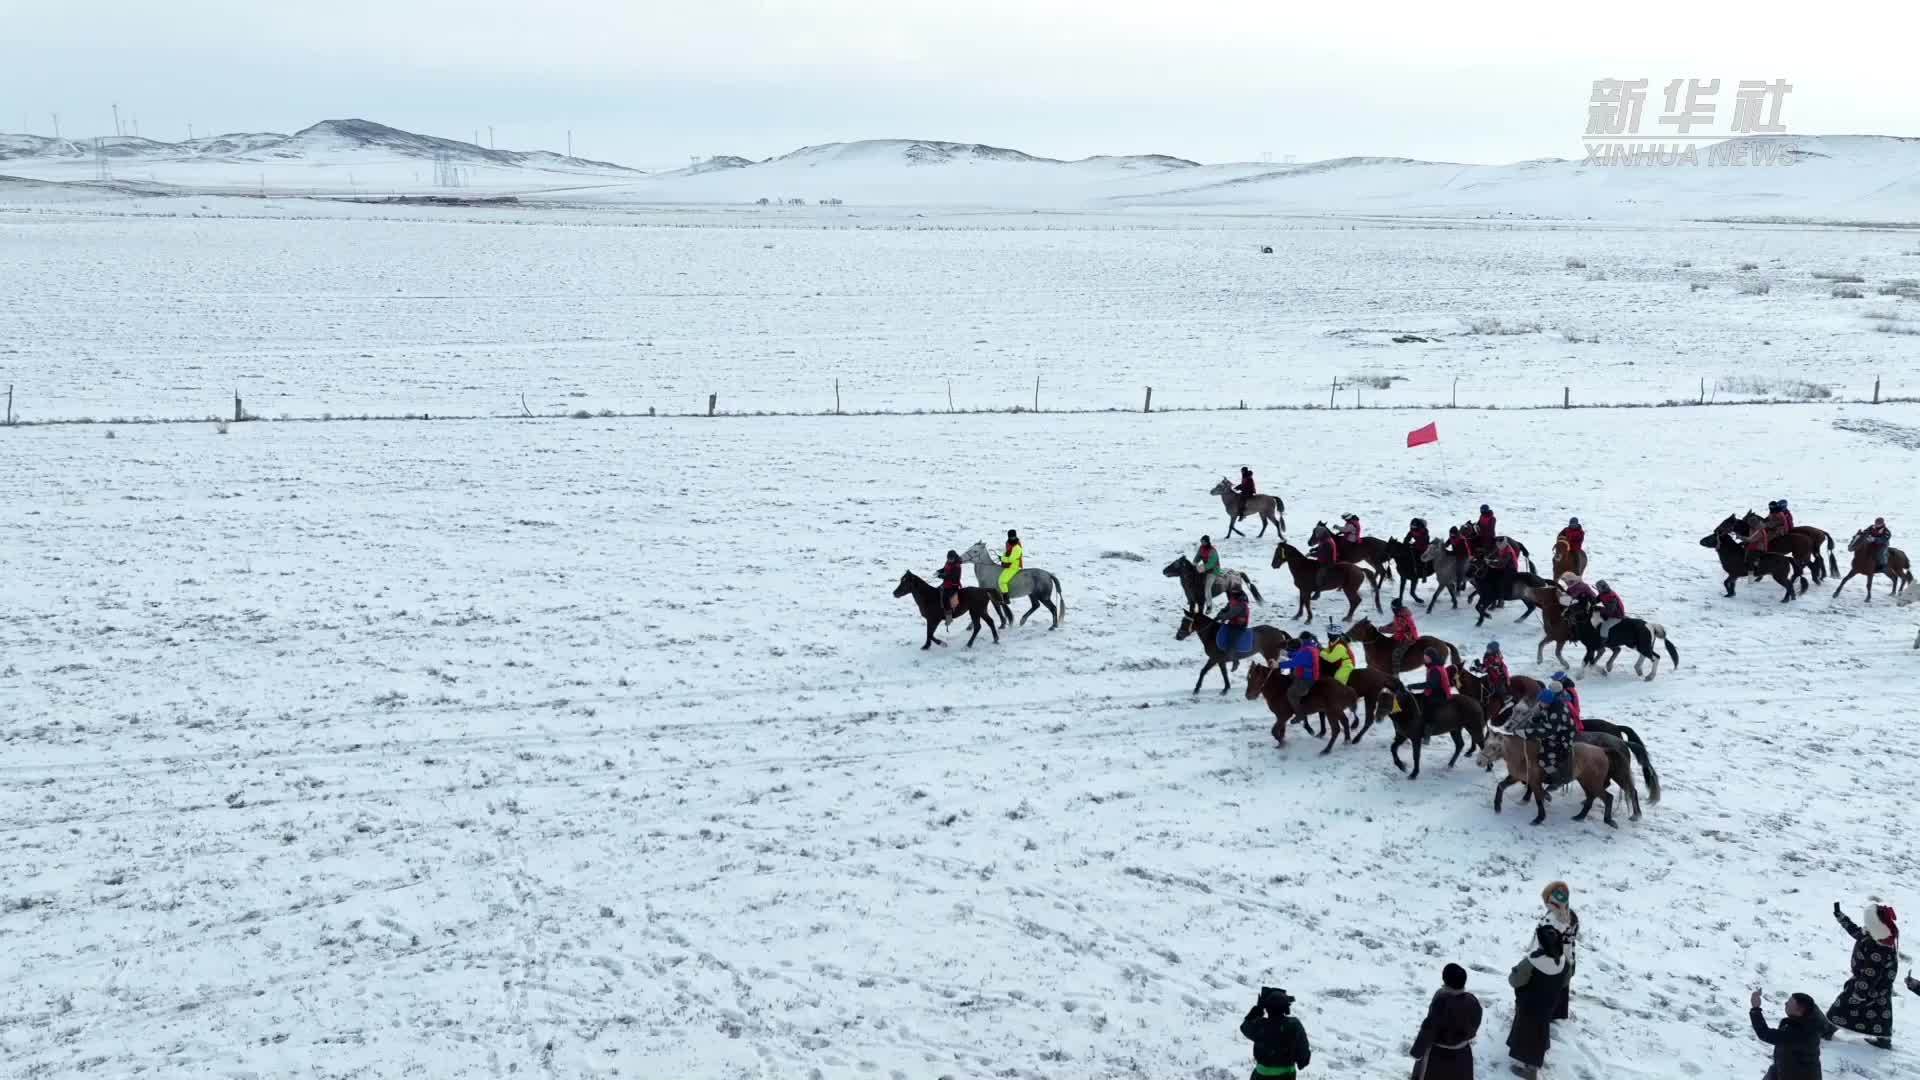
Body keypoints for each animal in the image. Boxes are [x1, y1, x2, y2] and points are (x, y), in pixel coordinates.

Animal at [1474, 722, 1643, 822]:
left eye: (1494, 747)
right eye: (1485, 744)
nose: (1479, 762)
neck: (1522, 754)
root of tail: (1604, 750)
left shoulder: (1534, 781)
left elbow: (1538, 798)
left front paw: (1539, 818)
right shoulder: (1516, 776)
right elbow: (1500, 786)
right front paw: (1497, 807)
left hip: (1600, 780)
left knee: (1614, 795)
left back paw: (1618, 818)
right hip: (1588, 781)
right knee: (1594, 796)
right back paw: (1580, 816)